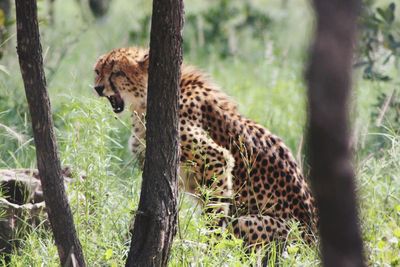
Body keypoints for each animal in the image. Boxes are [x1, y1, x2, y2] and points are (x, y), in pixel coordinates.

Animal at [93, 47, 318, 248]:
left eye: (117, 72)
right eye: (98, 71)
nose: (97, 88)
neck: (143, 104)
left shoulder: (216, 159)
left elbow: (215, 213)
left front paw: (211, 250)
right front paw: (126, 242)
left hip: (251, 223)